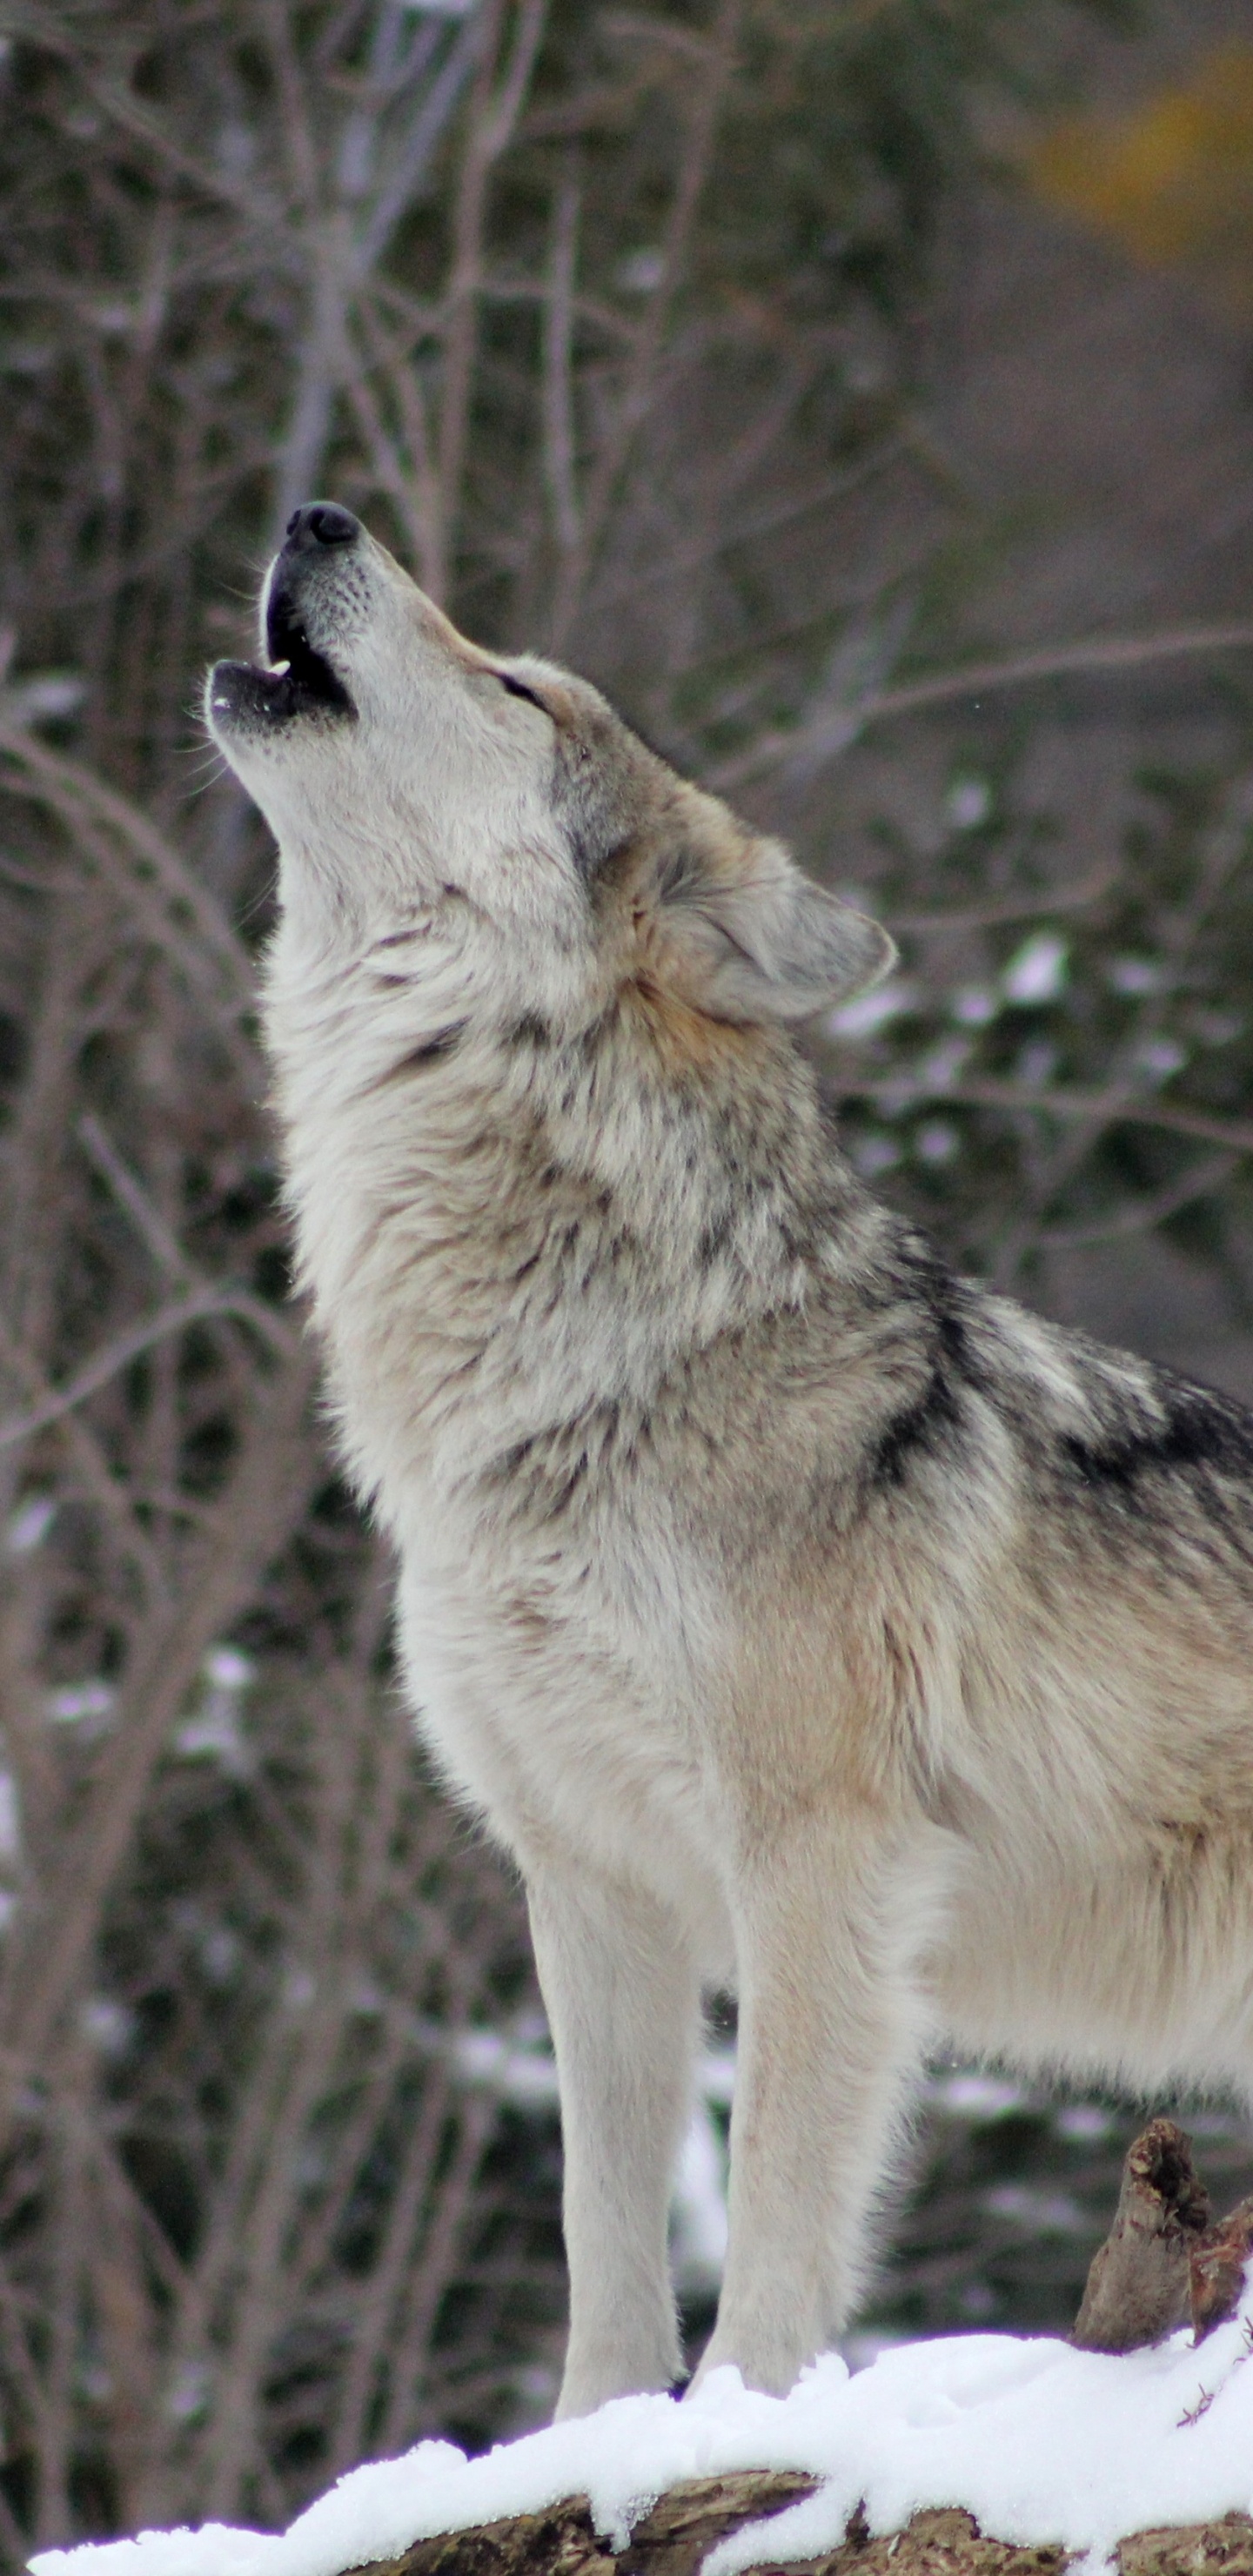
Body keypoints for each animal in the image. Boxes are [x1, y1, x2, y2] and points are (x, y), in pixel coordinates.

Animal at [208, 501, 1253, 2420]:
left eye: (519, 687)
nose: (319, 514)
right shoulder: (588, 1880)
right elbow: (605, 2230)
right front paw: (596, 2445)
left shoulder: (820, 1857)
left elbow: (770, 2201)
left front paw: (751, 2428)